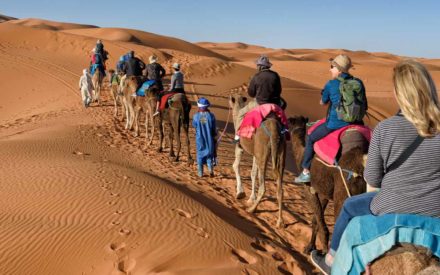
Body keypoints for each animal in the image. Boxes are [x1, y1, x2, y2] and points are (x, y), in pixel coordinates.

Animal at [229, 95, 288, 229]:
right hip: (281, 152)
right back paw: (280, 222)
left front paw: (240, 193)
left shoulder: (240, 147)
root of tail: (274, 129)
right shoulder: (256, 154)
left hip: (263, 150)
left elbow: (235, 166)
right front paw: (251, 197)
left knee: (263, 187)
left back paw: (252, 209)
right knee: (280, 188)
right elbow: (253, 173)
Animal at [288, 115, 368, 254]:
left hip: (344, 193)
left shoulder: (308, 188)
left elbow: (321, 223)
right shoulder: (324, 192)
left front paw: (320, 248)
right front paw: (310, 247)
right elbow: (315, 220)